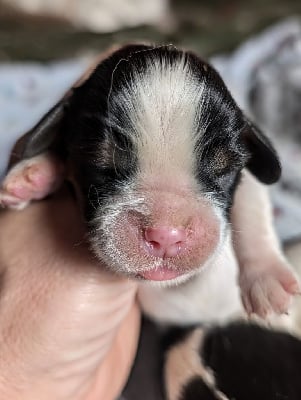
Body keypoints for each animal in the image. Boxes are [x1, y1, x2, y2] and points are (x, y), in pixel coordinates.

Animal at [0, 45, 298, 398]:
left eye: (223, 168)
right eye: (102, 163)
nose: (166, 234)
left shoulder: (247, 177)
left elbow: (252, 205)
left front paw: (268, 278)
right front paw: (34, 174)